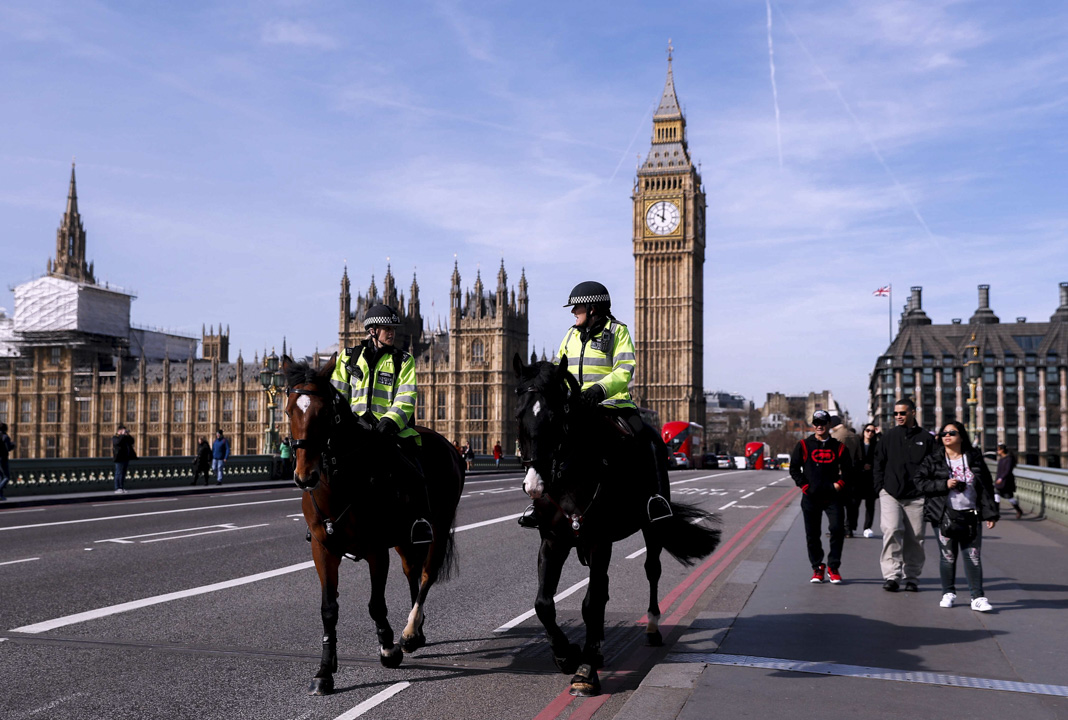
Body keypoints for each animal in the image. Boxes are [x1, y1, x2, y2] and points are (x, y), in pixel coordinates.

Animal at [281, 356, 465, 692]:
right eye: (288, 410)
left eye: (324, 412)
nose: (305, 476)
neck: (341, 484)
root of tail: (448, 445)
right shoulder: (323, 547)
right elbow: (329, 609)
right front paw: (324, 671)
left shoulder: (376, 549)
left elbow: (376, 604)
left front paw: (388, 648)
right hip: (406, 537)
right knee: (412, 572)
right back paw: (417, 633)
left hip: (440, 525)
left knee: (427, 575)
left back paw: (408, 633)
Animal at [512, 352, 721, 687]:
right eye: (519, 415)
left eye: (557, 417)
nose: (534, 484)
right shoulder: (553, 539)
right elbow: (543, 603)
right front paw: (566, 655)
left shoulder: (599, 539)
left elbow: (589, 603)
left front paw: (585, 670)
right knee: (604, 587)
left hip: (651, 523)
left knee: (651, 571)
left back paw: (651, 628)